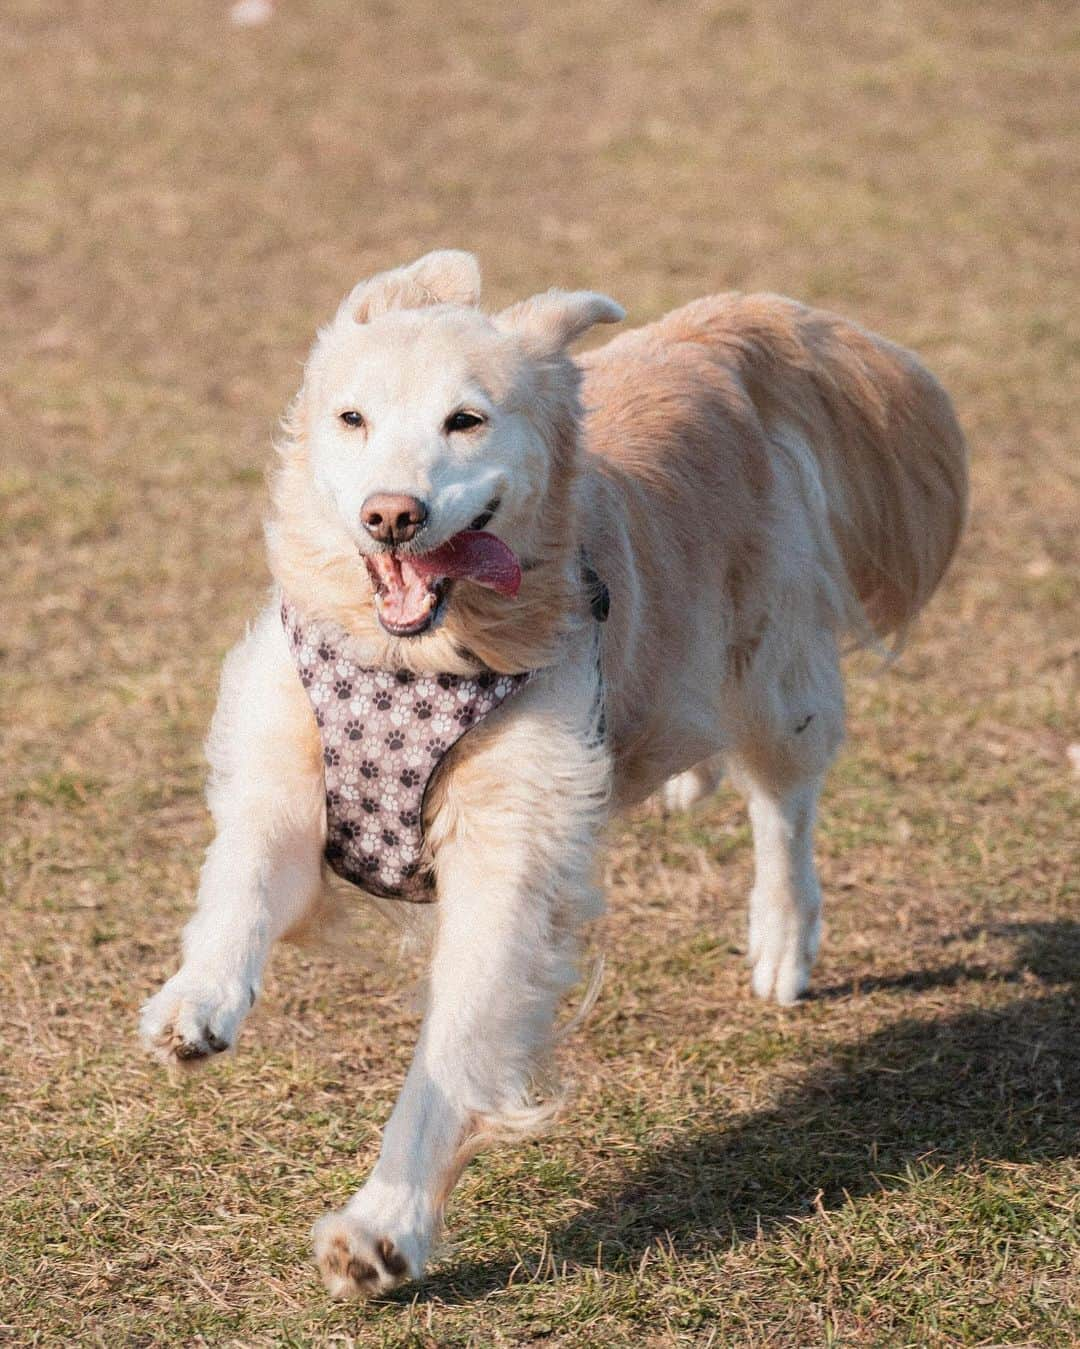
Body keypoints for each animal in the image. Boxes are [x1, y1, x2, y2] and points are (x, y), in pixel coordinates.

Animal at [138, 250, 965, 1295]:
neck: (419, 656)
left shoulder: (510, 859)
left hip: (770, 676)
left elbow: (452, 1051)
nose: (391, 514)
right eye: (351, 416)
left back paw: (783, 938)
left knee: (785, 805)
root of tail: (711, 335)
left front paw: (383, 1226)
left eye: (466, 419)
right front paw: (195, 1000)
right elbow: (242, 883)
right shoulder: (288, 772)